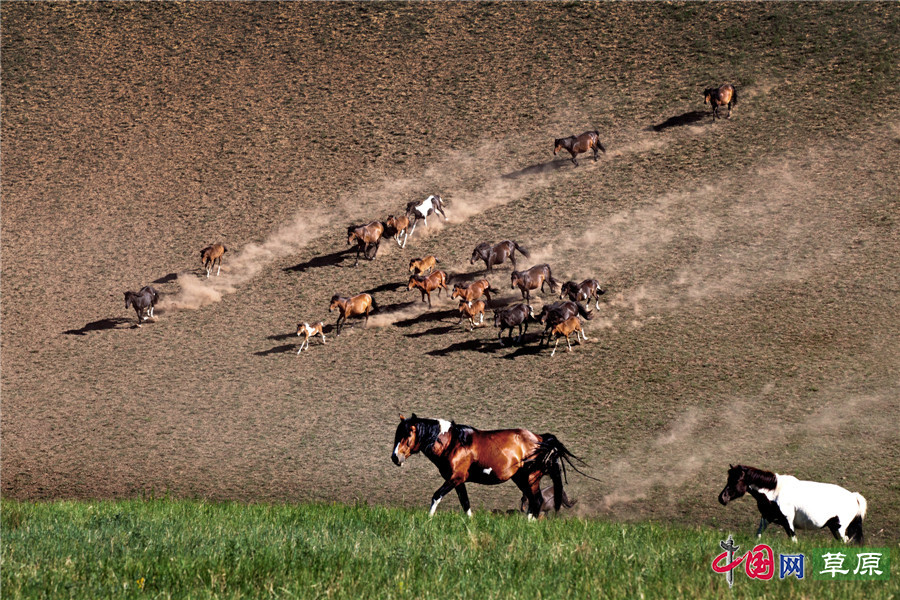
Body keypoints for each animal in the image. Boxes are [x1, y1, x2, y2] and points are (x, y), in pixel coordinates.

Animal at [392, 414, 584, 516]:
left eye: (407, 435)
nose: (395, 457)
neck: (453, 443)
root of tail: (541, 439)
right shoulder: (458, 481)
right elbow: (465, 503)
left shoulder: (455, 478)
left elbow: (436, 496)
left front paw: (429, 518)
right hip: (521, 479)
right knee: (533, 501)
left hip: (530, 478)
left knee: (536, 501)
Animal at [716, 464, 864, 544]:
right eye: (729, 478)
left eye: (737, 480)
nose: (722, 498)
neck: (775, 492)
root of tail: (854, 496)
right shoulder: (766, 518)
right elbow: (758, 536)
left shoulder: (788, 522)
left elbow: (793, 541)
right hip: (834, 528)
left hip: (839, 528)